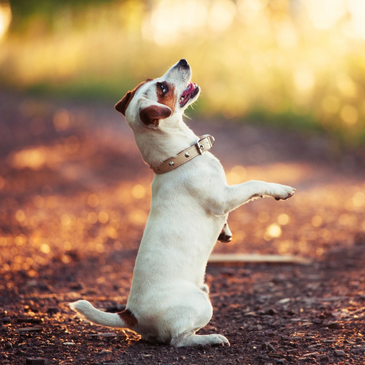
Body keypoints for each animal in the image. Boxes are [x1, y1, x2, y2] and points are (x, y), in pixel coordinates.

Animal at [69, 58, 294, 346]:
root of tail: (131, 315)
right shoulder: (224, 198)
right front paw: (282, 190)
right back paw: (210, 338)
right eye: (163, 87)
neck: (177, 158)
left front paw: (226, 232)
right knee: (179, 340)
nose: (183, 61)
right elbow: (253, 184)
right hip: (201, 305)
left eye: (154, 80)